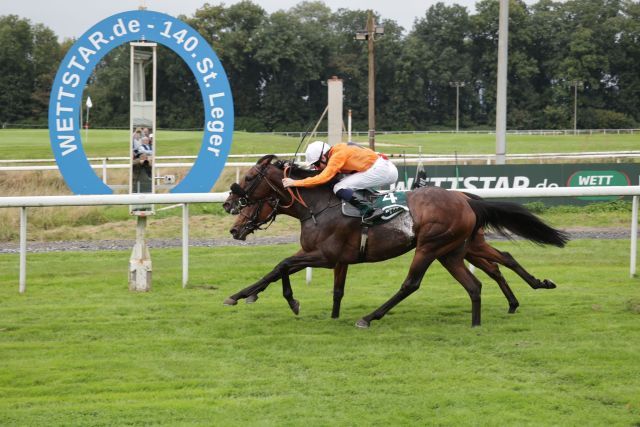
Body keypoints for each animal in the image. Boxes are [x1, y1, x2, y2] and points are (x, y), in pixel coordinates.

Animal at [222, 155, 568, 330]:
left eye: (250, 178)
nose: (229, 205)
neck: (318, 206)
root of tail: (465, 200)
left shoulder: (325, 255)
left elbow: (282, 266)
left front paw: (291, 301)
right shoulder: (325, 256)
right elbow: (284, 272)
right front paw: (240, 295)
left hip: (430, 247)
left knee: (411, 284)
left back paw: (369, 317)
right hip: (454, 251)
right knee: (484, 275)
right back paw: (488, 316)